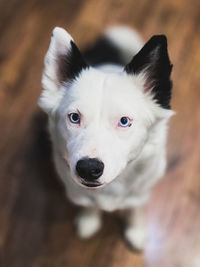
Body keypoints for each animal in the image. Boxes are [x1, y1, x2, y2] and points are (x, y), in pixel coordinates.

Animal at [38, 26, 173, 250]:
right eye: (74, 117)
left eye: (124, 121)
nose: (88, 168)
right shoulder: (76, 190)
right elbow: (87, 203)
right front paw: (89, 219)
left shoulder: (141, 192)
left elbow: (134, 209)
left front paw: (135, 229)